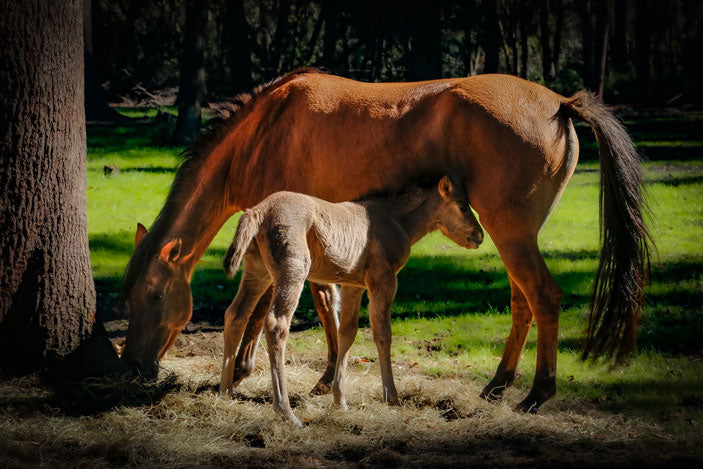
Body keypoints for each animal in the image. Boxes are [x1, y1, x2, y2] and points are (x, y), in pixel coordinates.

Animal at [220, 175, 484, 424]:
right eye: (462, 205)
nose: (479, 236)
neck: (395, 221)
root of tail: (258, 210)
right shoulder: (383, 281)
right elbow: (382, 334)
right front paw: (392, 396)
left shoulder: (352, 286)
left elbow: (346, 332)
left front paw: (340, 400)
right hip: (292, 270)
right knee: (276, 323)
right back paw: (286, 412)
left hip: (258, 271)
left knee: (235, 314)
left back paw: (225, 393)